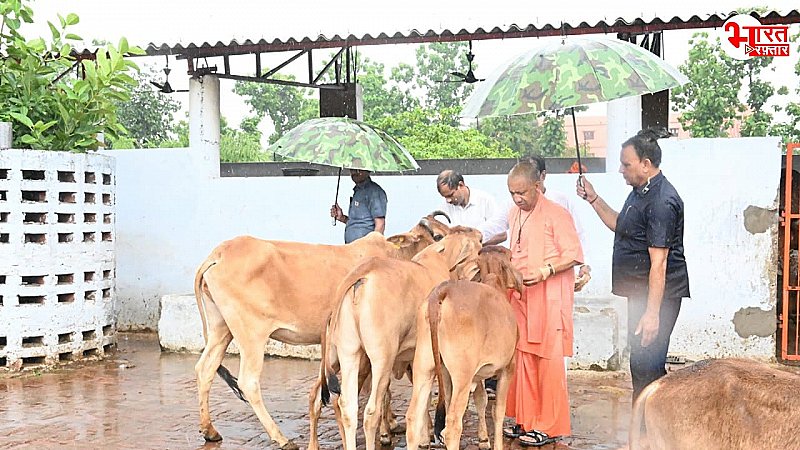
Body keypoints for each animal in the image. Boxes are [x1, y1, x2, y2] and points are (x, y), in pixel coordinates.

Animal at [192, 212, 450, 450]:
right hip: (251, 336)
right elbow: (381, 390)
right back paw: (282, 438)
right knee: (248, 383)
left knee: (206, 368)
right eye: (437, 236)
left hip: (221, 328)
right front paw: (388, 430)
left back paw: (209, 430)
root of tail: (219, 253)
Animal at [318, 229, 482, 450]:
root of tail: (362, 273)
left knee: (348, 408)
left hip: (349, 353)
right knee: (371, 412)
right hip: (382, 358)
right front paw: (425, 438)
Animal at [406, 246, 520, 450]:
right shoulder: (508, 367)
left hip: (425, 368)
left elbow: (481, 400)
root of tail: (442, 291)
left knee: (413, 418)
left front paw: (483, 439)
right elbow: (498, 411)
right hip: (462, 375)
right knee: (452, 426)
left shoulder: (471, 374)